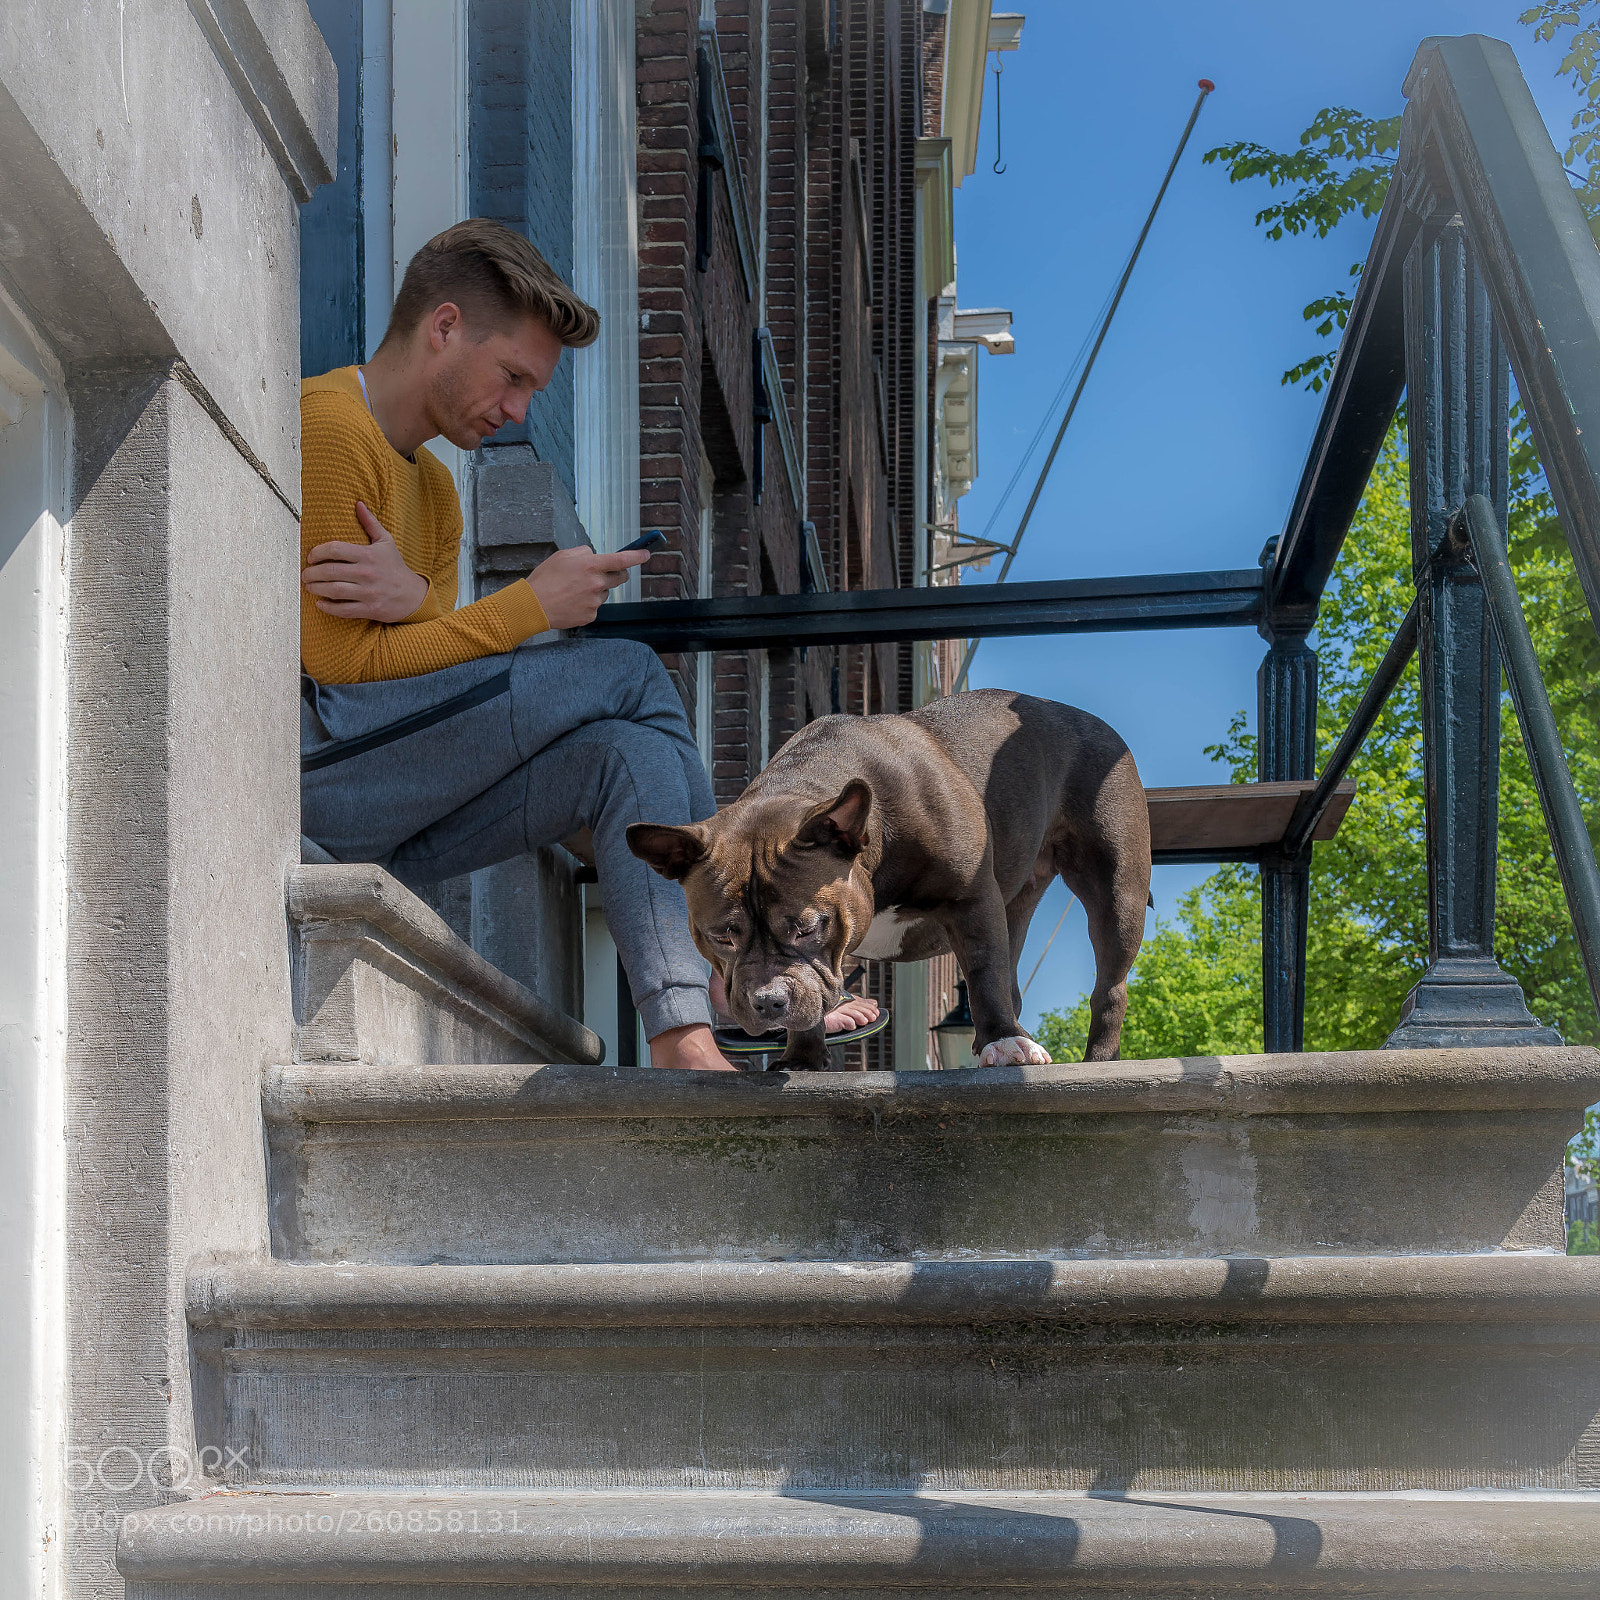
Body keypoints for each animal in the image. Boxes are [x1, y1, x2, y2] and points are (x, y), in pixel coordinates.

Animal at [624, 684, 1152, 1068]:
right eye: (721, 938)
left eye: (808, 927)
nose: (769, 1001)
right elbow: (815, 994)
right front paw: (803, 1058)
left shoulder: (970, 899)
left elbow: (984, 972)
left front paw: (1004, 1041)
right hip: (1017, 902)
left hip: (1116, 892)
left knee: (1108, 987)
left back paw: (1096, 1058)